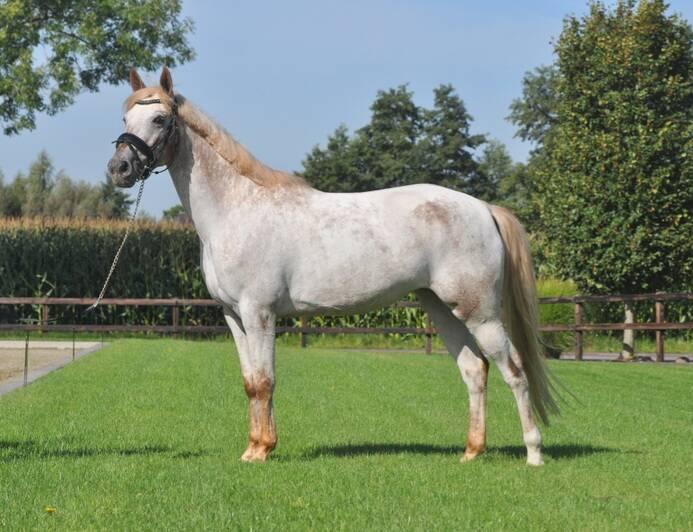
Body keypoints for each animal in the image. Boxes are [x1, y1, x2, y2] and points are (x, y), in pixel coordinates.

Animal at [106, 67, 558, 466]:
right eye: (126, 117)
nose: (119, 169)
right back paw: (471, 452)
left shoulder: (259, 313)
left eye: (160, 118)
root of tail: (483, 208)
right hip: (441, 308)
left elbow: (266, 381)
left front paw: (263, 450)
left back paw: (533, 453)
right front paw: (252, 448)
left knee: (514, 371)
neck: (236, 210)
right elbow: (251, 383)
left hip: (481, 314)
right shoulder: (234, 316)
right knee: (473, 370)